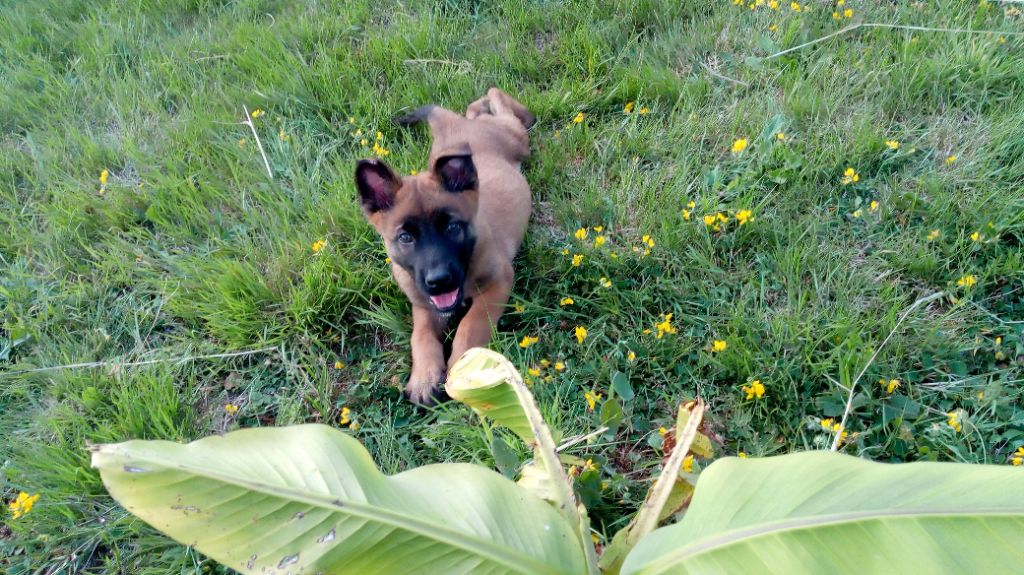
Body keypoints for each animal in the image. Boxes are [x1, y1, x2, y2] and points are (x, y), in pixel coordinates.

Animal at [354, 88, 536, 403]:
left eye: (452, 228)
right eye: (405, 237)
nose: (438, 281)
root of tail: (456, 130)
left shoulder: (499, 281)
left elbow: (471, 323)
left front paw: (463, 367)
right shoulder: (423, 305)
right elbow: (421, 337)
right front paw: (424, 376)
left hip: (515, 139)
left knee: (499, 102)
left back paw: (518, 111)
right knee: (475, 109)